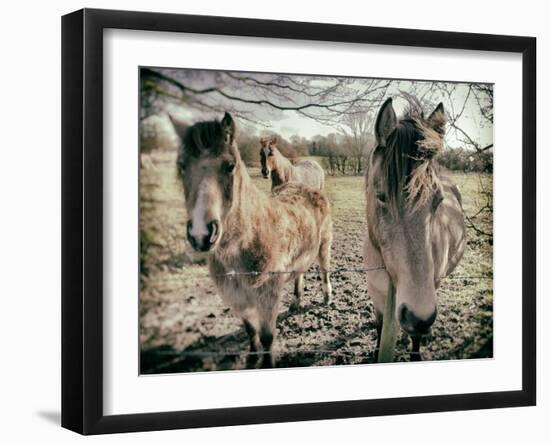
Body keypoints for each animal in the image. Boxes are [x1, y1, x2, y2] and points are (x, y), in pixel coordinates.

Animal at [175, 112, 334, 370]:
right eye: (181, 167)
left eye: (230, 165)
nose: (201, 234)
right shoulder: (236, 297)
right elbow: (251, 331)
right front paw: (251, 358)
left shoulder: (267, 295)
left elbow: (267, 336)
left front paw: (267, 363)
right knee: (299, 271)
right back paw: (297, 301)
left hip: (324, 244)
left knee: (324, 268)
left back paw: (327, 297)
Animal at [364, 96, 468, 360]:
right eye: (381, 196)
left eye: (438, 200)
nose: (418, 317)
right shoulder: (376, 295)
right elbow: (380, 325)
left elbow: (415, 338)